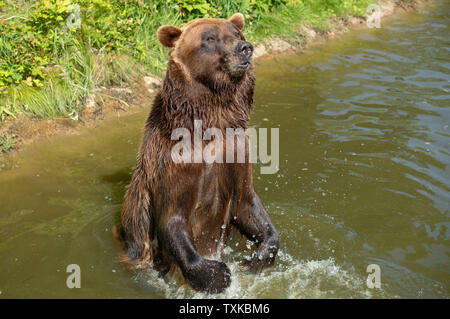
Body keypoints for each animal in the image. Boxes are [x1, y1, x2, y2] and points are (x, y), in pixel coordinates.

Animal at [113, 12, 278, 294]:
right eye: (210, 38)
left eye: (237, 33)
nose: (244, 48)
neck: (211, 119)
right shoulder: (174, 163)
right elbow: (173, 220)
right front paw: (216, 274)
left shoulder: (235, 151)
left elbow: (247, 204)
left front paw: (254, 259)